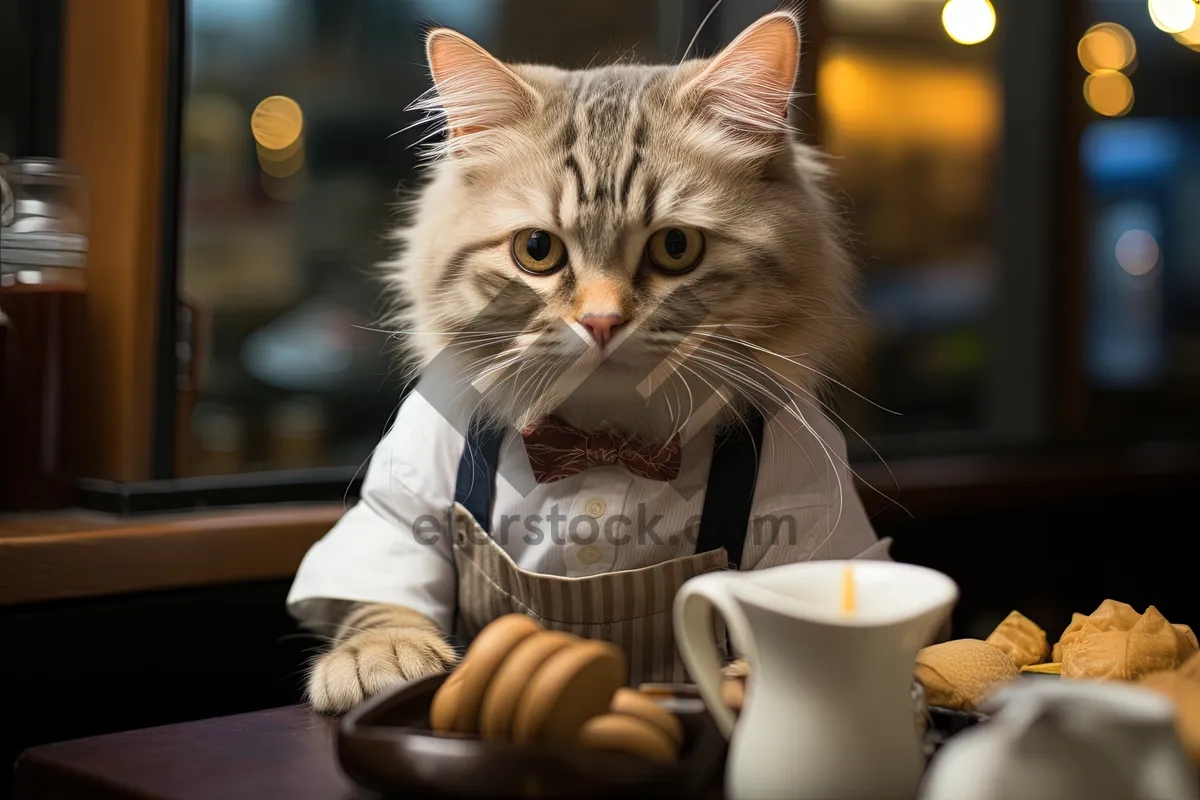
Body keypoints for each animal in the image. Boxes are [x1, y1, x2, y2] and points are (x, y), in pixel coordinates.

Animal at [288, 10, 873, 714]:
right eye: (536, 250)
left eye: (677, 247)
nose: (600, 322)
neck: (603, 443)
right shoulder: (405, 497)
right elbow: (382, 595)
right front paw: (383, 656)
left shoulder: (811, 500)